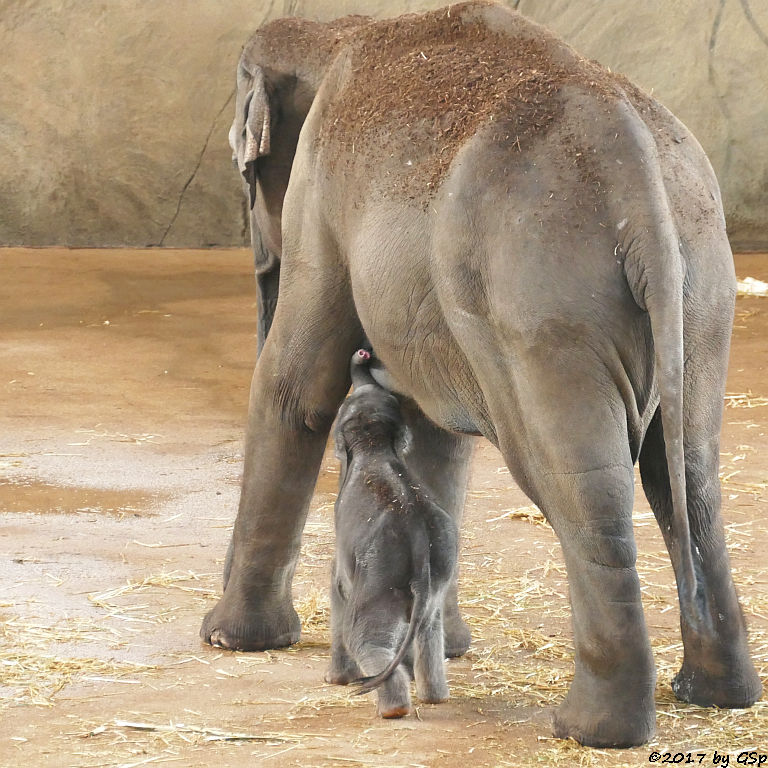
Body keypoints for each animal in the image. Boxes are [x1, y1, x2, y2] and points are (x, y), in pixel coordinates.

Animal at [324, 352, 456, 716]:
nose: (363, 354)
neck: (375, 445)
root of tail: (420, 543)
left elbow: (337, 587)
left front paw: (334, 680)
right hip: (440, 565)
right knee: (429, 627)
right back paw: (434, 697)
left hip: (381, 572)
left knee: (366, 635)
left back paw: (393, 708)